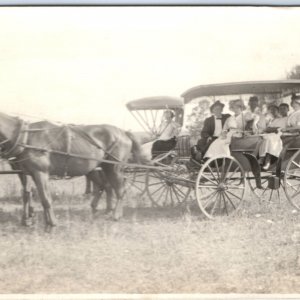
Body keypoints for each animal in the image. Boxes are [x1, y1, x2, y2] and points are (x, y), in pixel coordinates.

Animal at [0, 112, 146, 225]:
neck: (25, 137)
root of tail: (124, 133)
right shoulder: (25, 173)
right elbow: (26, 194)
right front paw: (28, 220)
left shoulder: (40, 172)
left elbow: (45, 198)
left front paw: (51, 224)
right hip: (97, 168)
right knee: (104, 186)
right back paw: (98, 210)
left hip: (114, 167)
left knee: (120, 190)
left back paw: (115, 215)